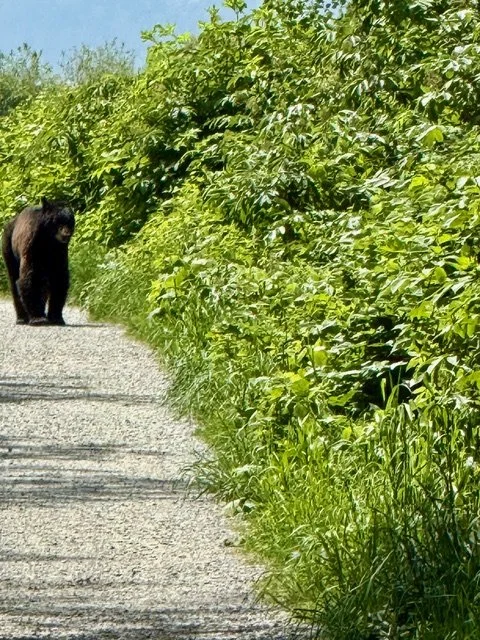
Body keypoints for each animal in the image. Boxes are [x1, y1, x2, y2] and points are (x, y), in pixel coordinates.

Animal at [2, 197, 75, 326]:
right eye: (58, 221)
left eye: (70, 221)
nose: (66, 234)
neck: (48, 239)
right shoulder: (32, 246)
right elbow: (30, 278)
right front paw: (37, 318)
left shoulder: (59, 251)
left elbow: (59, 278)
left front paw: (56, 317)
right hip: (9, 247)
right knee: (13, 279)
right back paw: (21, 318)